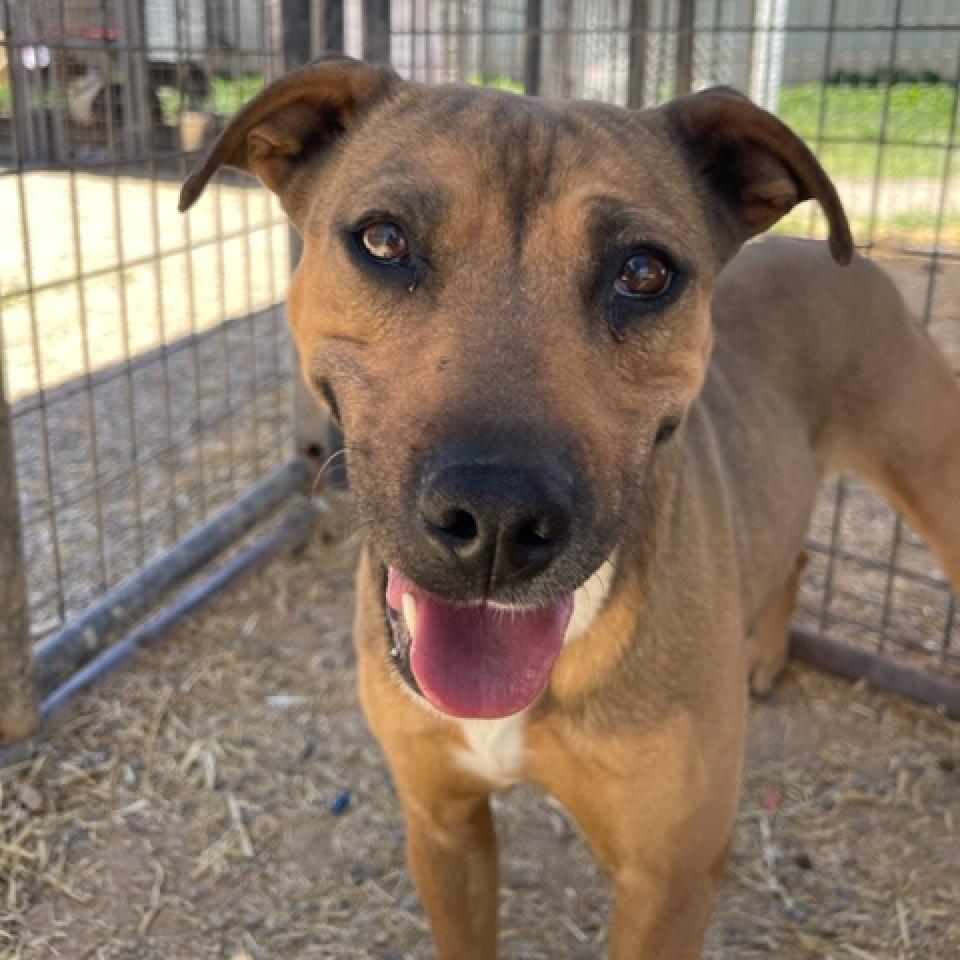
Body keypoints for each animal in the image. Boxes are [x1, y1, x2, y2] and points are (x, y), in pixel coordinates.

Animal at [182, 60, 960, 960]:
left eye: (644, 272)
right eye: (383, 240)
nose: (496, 519)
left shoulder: (668, 881)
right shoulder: (442, 822)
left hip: (934, 476)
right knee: (793, 548)